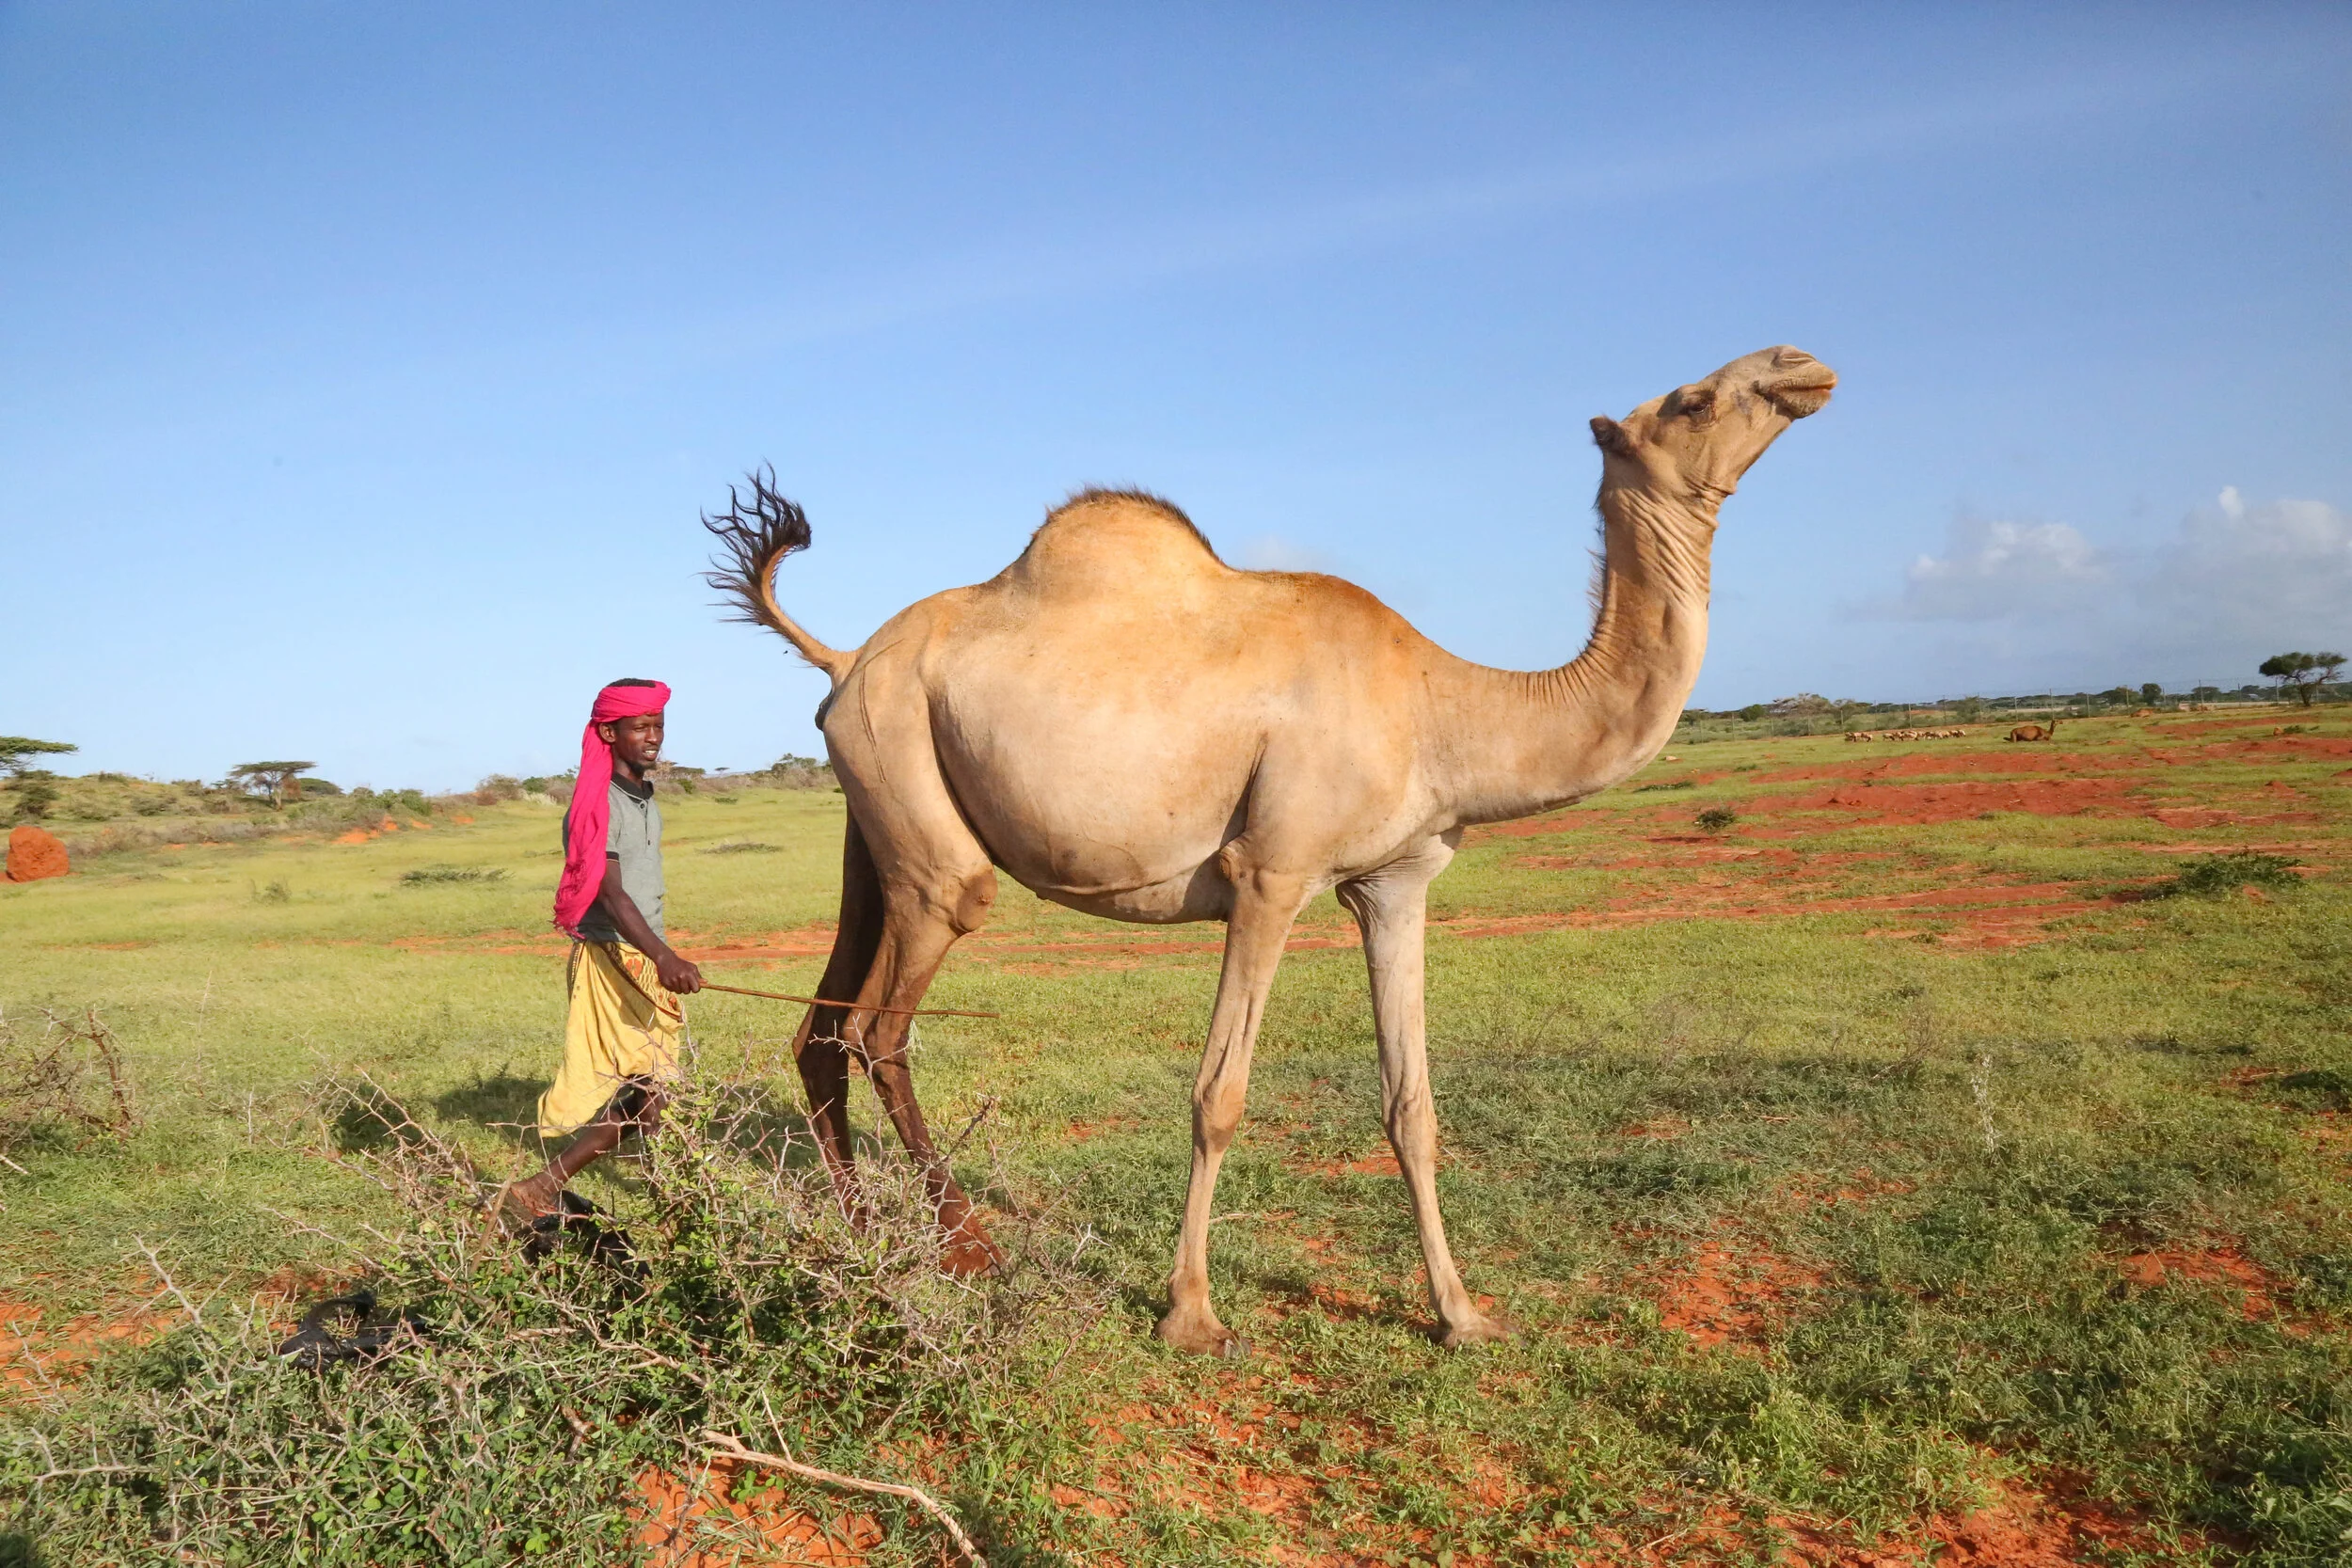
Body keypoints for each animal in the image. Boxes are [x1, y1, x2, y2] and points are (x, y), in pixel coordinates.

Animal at [704, 345, 1837, 1356]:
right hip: (921, 813)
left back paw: (862, 1238)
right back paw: (967, 1251)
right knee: (882, 1020)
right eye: (1691, 400)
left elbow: (1412, 1104)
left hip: (872, 816)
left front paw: (1461, 1314)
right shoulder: (1271, 872)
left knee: (821, 1029)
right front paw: (1192, 1315)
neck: (1446, 708)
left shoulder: (1396, 880)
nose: (1801, 365)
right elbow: (1219, 1095)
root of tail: (844, 656)